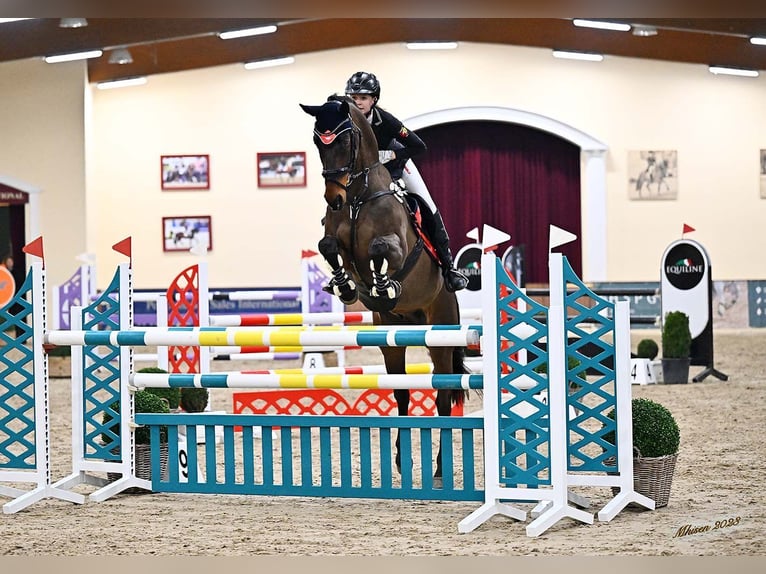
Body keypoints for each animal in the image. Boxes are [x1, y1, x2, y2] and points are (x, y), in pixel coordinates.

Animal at [300, 94, 468, 486]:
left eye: (345, 140)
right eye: (317, 142)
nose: (333, 197)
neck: (359, 196)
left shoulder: (396, 246)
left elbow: (381, 249)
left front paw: (383, 284)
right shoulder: (335, 240)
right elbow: (329, 245)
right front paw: (346, 286)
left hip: (441, 332)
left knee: (442, 394)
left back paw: (440, 468)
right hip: (392, 336)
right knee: (402, 392)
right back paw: (403, 460)